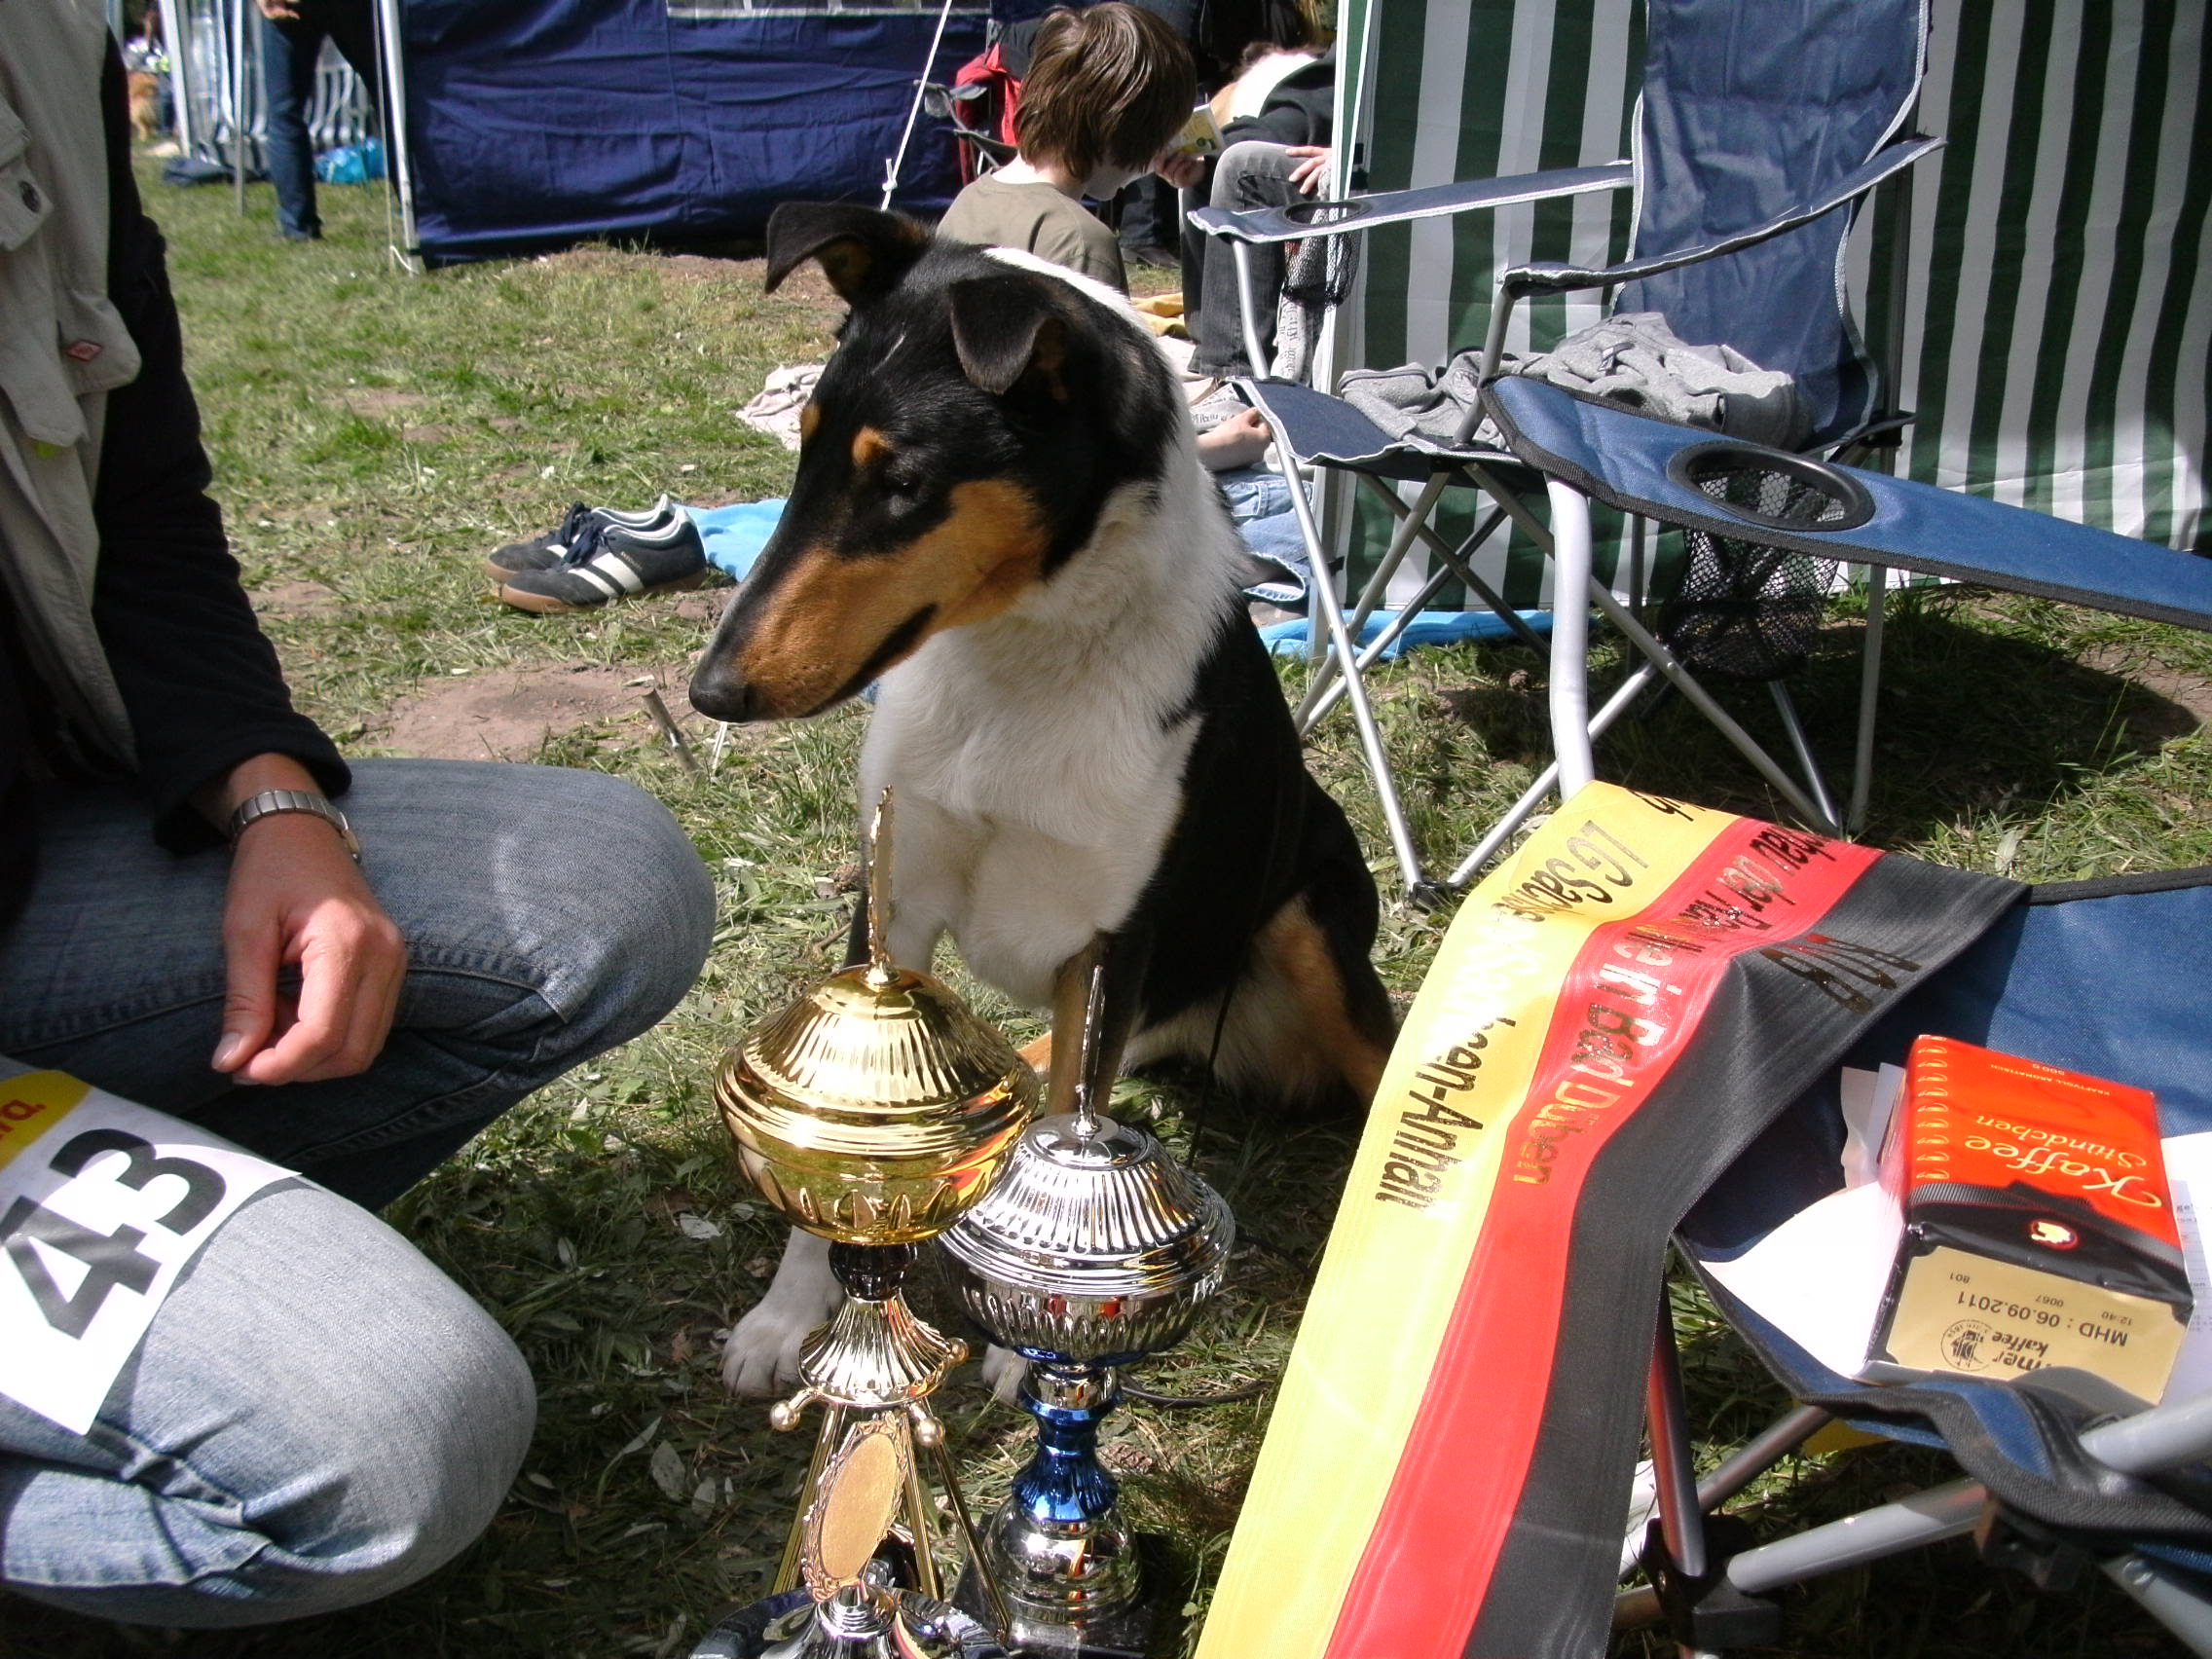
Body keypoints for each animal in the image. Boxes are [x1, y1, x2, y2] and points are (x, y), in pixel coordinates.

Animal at [689, 207, 1388, 1406]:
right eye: (807, 445)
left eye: (906, 481)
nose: (712, 692)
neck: (1019, 665)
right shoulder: (894, 899)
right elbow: (848, 1124)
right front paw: (787, 1319)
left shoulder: (1110, 940)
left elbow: (1068, 1132)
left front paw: (1037, 1340)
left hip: (1310, 921)